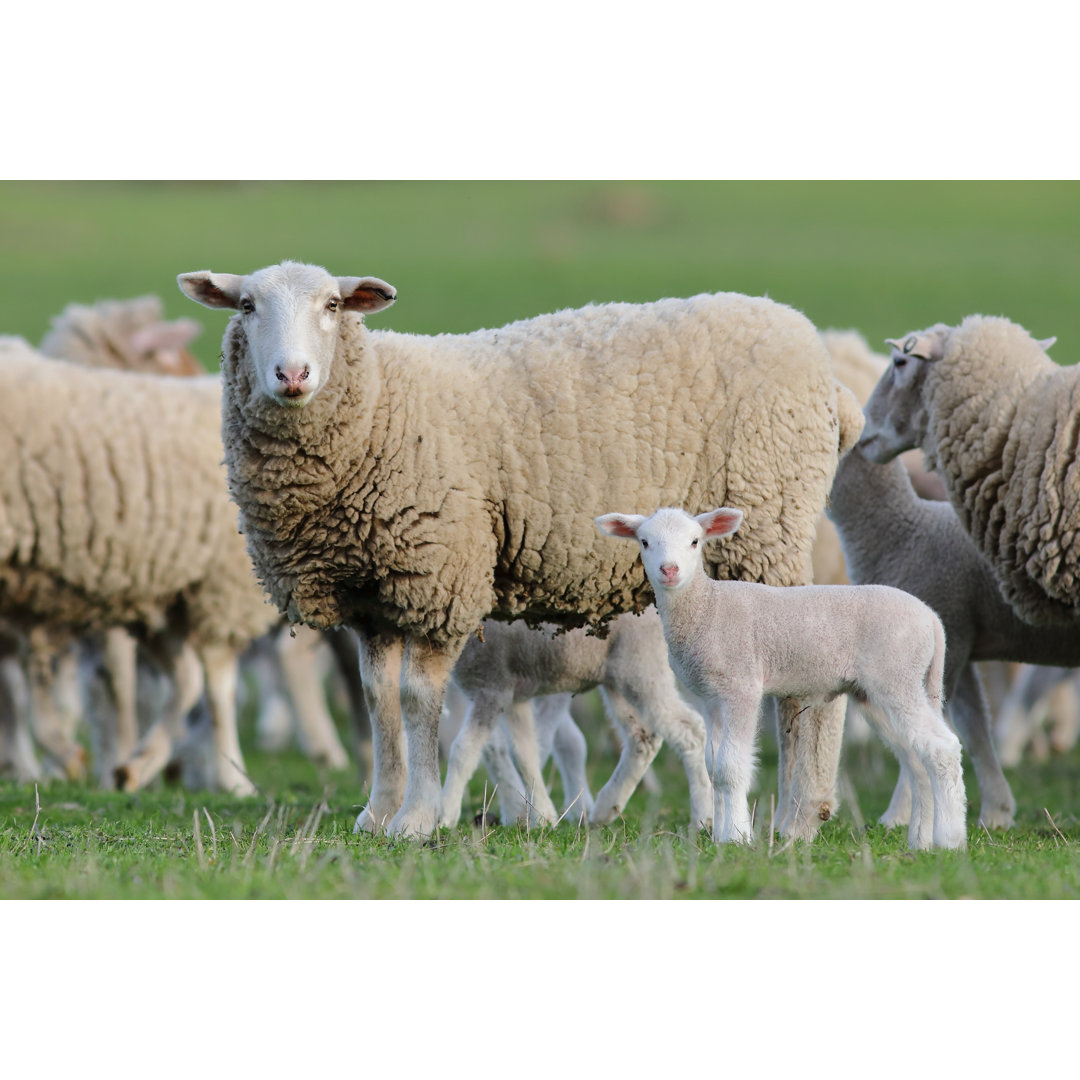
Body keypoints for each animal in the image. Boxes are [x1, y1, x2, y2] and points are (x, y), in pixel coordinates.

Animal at [440, 608, 713, 830]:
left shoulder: (492, 689)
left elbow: (464, 751)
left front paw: (445, 816)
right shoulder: (514, 698)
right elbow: (524, 753)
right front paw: (540, 815)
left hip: (642, 667)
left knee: (691, 730)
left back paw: (703, 816)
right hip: (618, 679)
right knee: (643, 736)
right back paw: (606, 807)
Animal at [595, 506, 967, 850]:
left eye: (695, 541)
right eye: (645, 542)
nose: (669, 570)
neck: (707, 607)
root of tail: (931, 619)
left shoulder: (741, 686)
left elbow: (730, 767)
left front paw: (737, 837)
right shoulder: (711, 698)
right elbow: (713, 767)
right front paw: (719, 835)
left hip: (896, 676)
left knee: (943, 747)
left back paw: (950, 840)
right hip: (878, 691)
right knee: (917, 758)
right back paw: (920, 841)